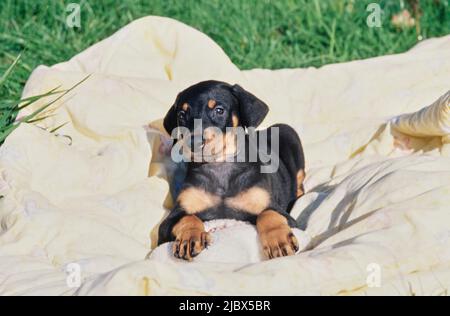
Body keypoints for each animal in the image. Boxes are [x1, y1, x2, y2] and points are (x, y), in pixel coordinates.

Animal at [158, 80, 306, 260]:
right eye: (181, 115)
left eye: (219, 110)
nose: (193, 143)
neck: (219, 165)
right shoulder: (168, 223)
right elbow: (187, 217)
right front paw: (190, 237)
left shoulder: (281, 213)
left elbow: (268, 214)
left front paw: (278, 240)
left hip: (288, 132)